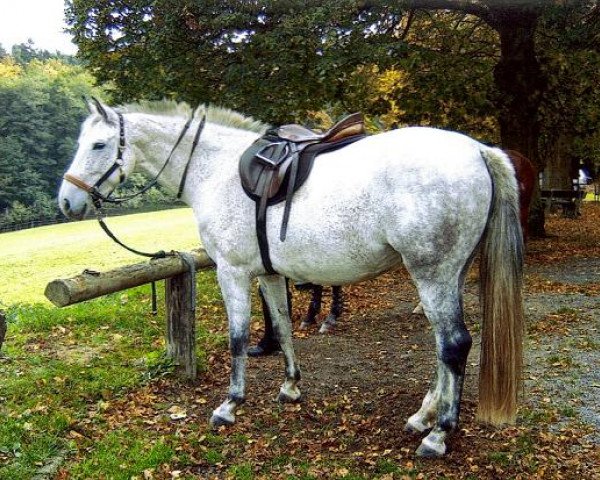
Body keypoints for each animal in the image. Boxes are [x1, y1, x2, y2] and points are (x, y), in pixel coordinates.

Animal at [58, 98, 524, 458]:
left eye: (99, 144)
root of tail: (478, 151)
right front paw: (290, 387)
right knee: (442, 348)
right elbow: (282, 328)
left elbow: (238, 338)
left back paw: (439, 434)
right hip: (448, 276)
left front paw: (230, 404)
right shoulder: (267, 274)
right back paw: (423, 416)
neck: (215, 170)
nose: (67, 200)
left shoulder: (233, 272)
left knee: (455, 345)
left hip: (433, 275)